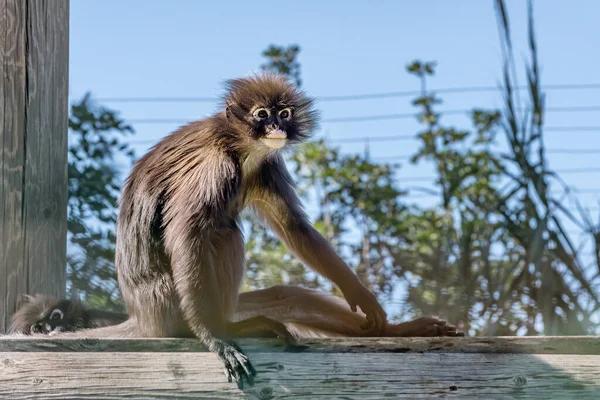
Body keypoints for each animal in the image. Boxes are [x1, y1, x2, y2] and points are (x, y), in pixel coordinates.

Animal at [3, 72, 460, 388]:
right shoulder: (215, 166)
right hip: (173, 303)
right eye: (261, 115)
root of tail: (143, 317)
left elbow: (295, 229)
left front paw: (363, 297)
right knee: (220, 231)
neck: (241, 147)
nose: (276, 127)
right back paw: (223, 330)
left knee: (287, 296)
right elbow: (189, 233)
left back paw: (397, 331)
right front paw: (215, 341)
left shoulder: (267, 164)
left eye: (284, 113)